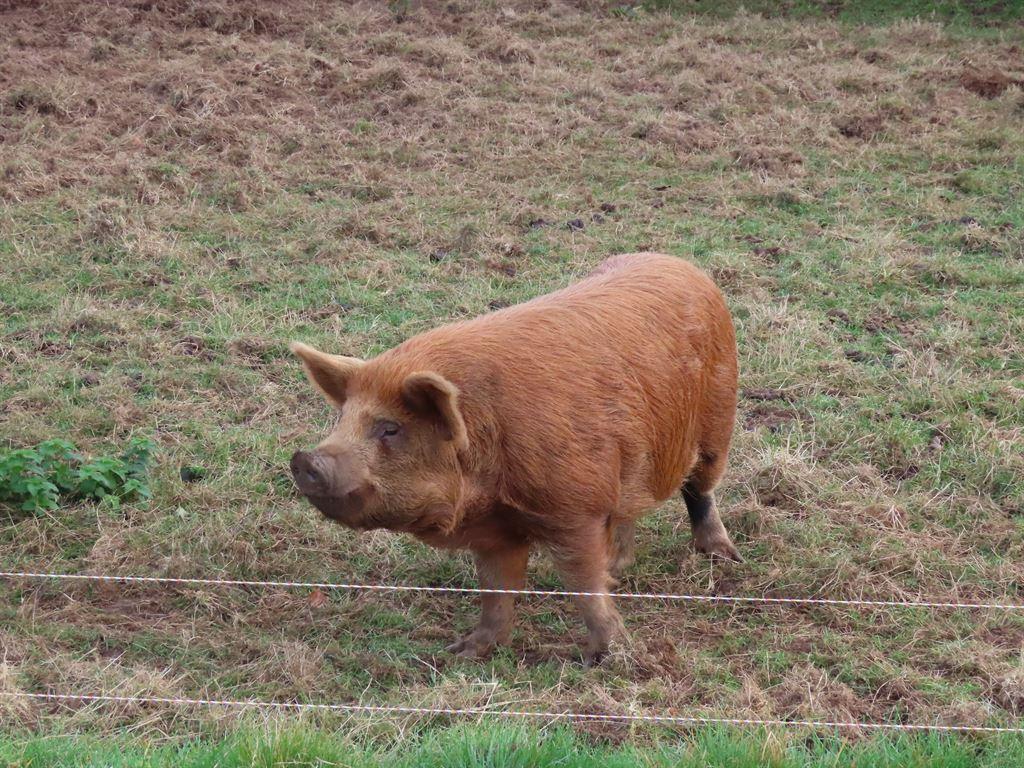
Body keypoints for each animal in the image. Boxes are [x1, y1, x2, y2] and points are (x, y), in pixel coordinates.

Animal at [290, 252, 740, 665]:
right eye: (343, 418)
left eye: (390, 429)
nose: (305, 459)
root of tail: (681, 263)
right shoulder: (495, 529)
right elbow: (495, 589)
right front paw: (465, 652)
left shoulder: (573, 509)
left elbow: (583, 583)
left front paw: (604, 656)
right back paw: (619, 567)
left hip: (718, 419)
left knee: (700, 489)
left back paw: (722, 556)